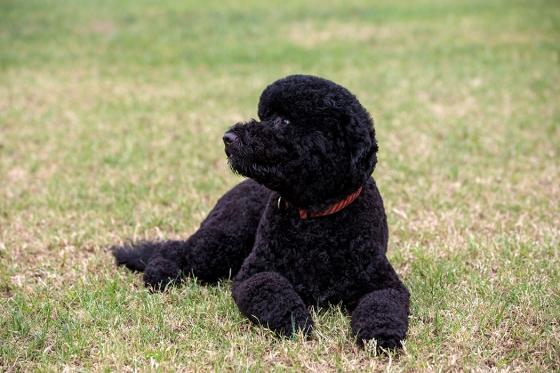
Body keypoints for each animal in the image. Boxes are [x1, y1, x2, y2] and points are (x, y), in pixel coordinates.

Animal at [112, 74, 412, 348]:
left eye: (284, 121)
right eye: (265, 116)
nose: (228, 137)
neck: (315, 218)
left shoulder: (383, 283)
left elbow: (381, 305)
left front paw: (381, 335)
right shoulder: (254, 273)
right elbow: (272, 290)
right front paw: (295, 321)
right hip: (221, 241)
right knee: (176, 252)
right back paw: (160, 275)